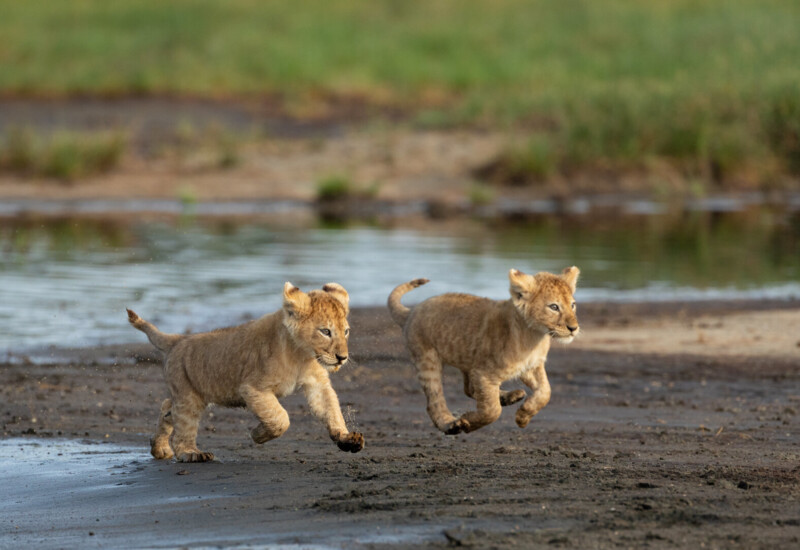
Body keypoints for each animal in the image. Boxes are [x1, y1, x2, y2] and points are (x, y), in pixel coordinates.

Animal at [127, 282, 364, 462]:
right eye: (325, 331)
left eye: (346, 331)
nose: (342, 357)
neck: (302, 356)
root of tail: (178, 339)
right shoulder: (252, 388)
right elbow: (281, 418)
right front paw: (257, 435)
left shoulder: (317, 382)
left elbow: (330, 409)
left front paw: (347, 439)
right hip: (189, 397)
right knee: (182, 426)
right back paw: (191, 453)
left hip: (190, 394)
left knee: (167, 408)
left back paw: (159, 448)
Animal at [387, 267, 579, 435]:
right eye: (554, 307)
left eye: (572, 305)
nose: (574, 328)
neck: (534, 336)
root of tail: (412, 311)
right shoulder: (484, 373)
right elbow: (492, 411)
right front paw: (468, 422)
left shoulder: (530, 367)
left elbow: (546, 392)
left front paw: (523, 416)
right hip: (428, 360)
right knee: (435, 400)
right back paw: (451, 424)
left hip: (468, 360)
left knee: (469, 389)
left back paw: (511, 396)